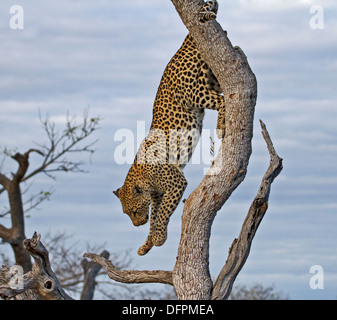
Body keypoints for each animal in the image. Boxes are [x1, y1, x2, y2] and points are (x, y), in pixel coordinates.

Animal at [113, 0, 226, 255]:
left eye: (133, 211)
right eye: (127, 213)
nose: (136, 223)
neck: (144, 176)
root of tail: (181, 48)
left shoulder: (175, 183)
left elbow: (164, 211)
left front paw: (157, 237)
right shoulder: (158, 194)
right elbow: (156, 213)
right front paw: (148, 242)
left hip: (195, 93)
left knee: (224, 99)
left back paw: (222, 127)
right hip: (208, 79)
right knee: (224, 92)